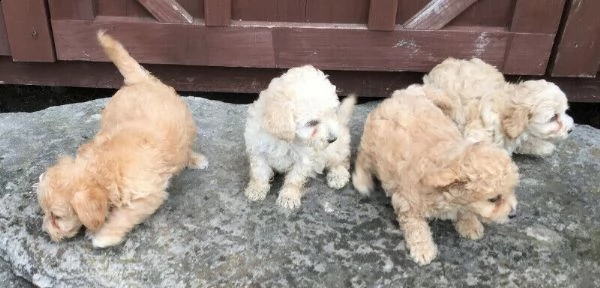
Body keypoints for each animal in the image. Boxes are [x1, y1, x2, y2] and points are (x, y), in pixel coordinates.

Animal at [36, 31, 209, 248]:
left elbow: (124, 216)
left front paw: (103, 236)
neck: (101, 168)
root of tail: (139, 80)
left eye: (57, 217)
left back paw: (195, 159)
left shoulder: (147, 194)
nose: (44, 231)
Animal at [354, 85, 516, 266]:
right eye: (493, 199)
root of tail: (402, 94)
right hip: (371, 145)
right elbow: (416, 228)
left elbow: (465, 211)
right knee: (363, 159)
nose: (513, 214)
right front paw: (423, 249)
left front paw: (470, 224)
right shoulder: (407, 202)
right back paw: (361, 181)